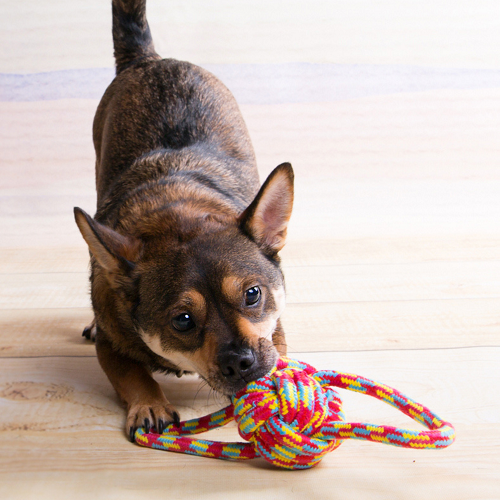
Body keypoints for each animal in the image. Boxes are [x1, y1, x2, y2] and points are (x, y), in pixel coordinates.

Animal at [74, 0, 292, 442]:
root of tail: (149, 59)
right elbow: (132, 375)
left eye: (253, 295)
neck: (177, 216)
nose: (240, 362)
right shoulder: (112, 344)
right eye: (183, 320)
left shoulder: (275, 332)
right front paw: (150, 405)